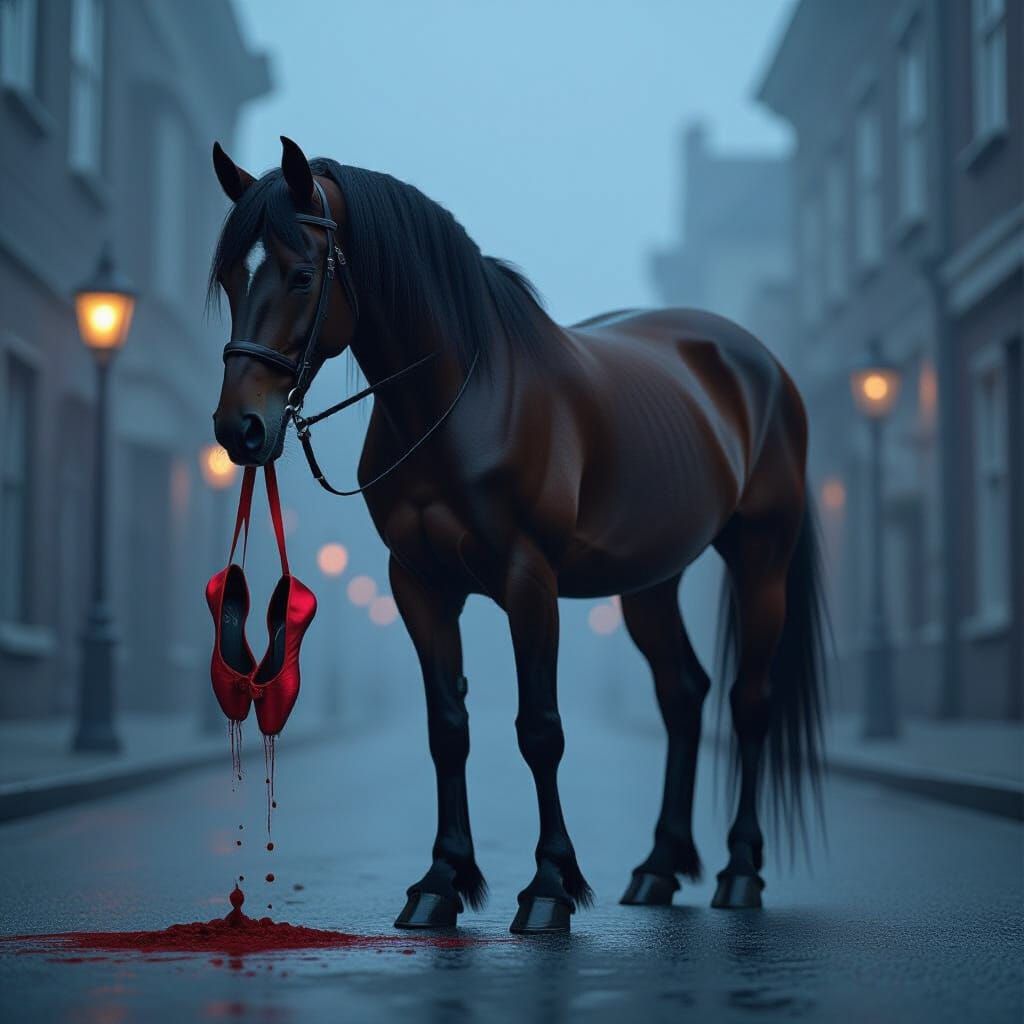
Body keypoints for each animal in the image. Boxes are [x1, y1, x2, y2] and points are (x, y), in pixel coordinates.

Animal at [209, 136, 827, 934]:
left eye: (302, 274)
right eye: (230, 277)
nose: (240, 428)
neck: (463, 400)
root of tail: (760, 365)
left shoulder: (527, 579)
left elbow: (539, 728)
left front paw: (549, 886)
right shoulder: (419, 585)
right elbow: (447, 727)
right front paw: (441, 881)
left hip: (762, 556)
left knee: (750, 701)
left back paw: (742, 871)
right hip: (651, 580)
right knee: (683, 694)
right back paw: (658, 868)